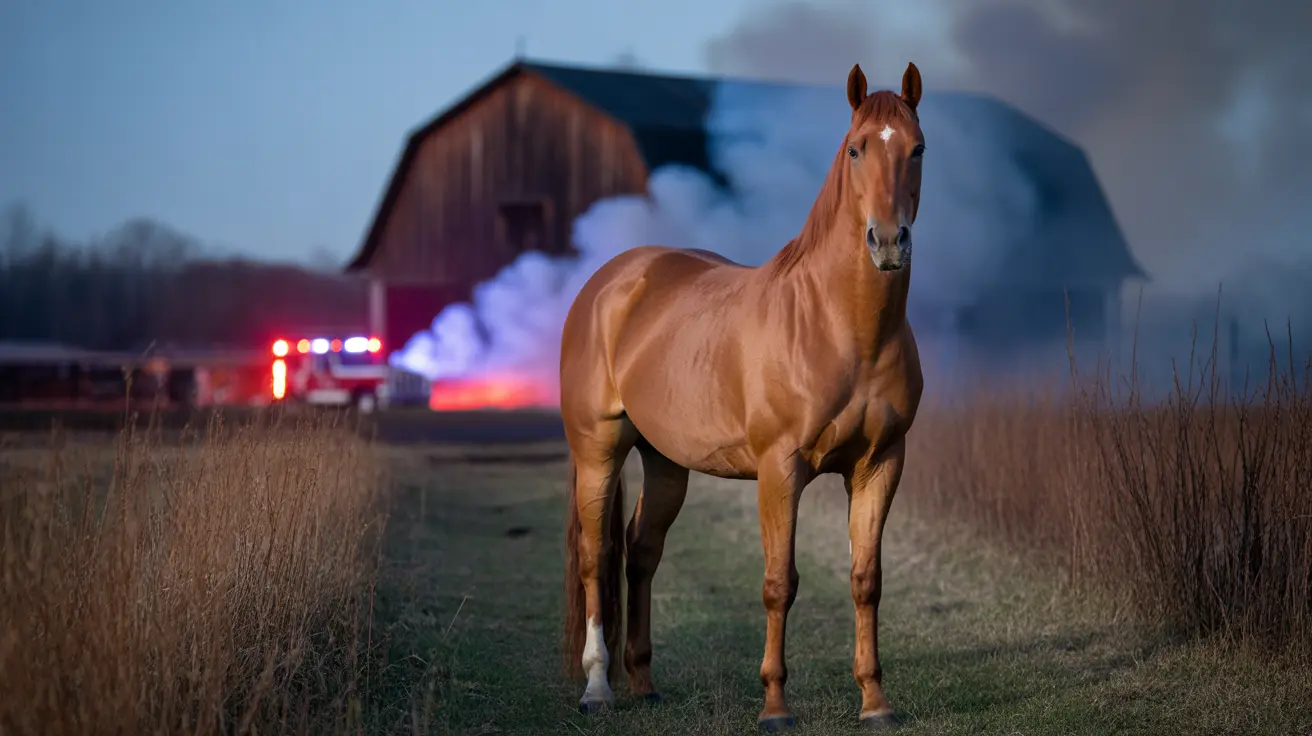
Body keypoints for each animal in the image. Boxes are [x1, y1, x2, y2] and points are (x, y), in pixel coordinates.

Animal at [560, 61, 927, 732]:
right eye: (856, 149)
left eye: (917, 149)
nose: (888, 242)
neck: (839, 324)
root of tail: (609, 282)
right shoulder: (780, 470)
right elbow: (779, 582)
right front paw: (776, 707)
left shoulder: (880, 464)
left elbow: (867, 579)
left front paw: (875, 703)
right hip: (598, 450)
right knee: (597, 555)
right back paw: (598, 688)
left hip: (665, 462)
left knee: (641, 551)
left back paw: (643, 683)